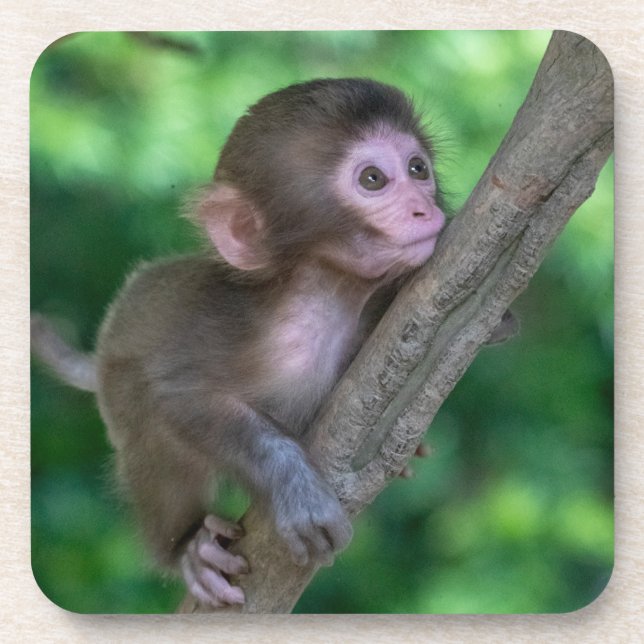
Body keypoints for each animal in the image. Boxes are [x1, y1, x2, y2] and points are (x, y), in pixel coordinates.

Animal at [31, 78, 447, 608]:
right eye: (373, 179)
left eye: (418, 168)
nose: (425, 208)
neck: (323, 301)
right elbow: (177, 397)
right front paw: (294, 489)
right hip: (119, 386)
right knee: (150, 431)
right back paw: (188, 548)